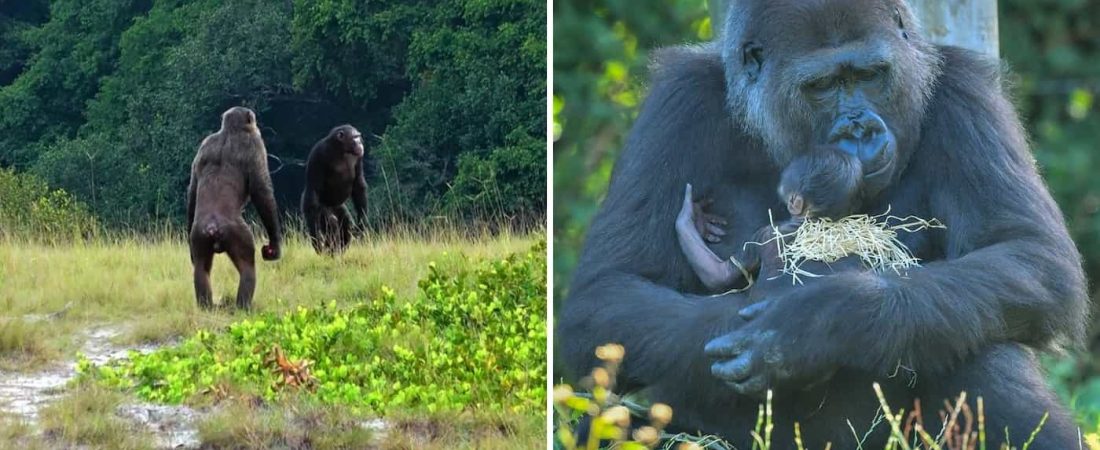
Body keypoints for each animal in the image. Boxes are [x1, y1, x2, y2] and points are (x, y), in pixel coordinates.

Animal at [185, 106, 281, 308]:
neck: (229, 132)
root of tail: (212, 227)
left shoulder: (204, 144)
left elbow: (193, 188)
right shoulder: (255, 144)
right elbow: (262, 191)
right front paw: (275, 245)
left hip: (198, 235)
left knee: (201, 269)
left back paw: (206, 306)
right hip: (237, 233)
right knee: (247, 267)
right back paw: (244, 306)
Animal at [301, 124, 369, 254]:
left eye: (358, 136)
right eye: (355, 137)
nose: (360, 142)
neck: (340, 150)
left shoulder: (358, 158)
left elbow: (358, 184)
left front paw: (362, 222)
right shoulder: (317, 155)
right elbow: (313, 190)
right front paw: (316, 239)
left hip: (339, 207)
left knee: (347, 223)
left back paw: (338, 252)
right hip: (323, 209)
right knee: (331, 222)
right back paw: (331, 252)